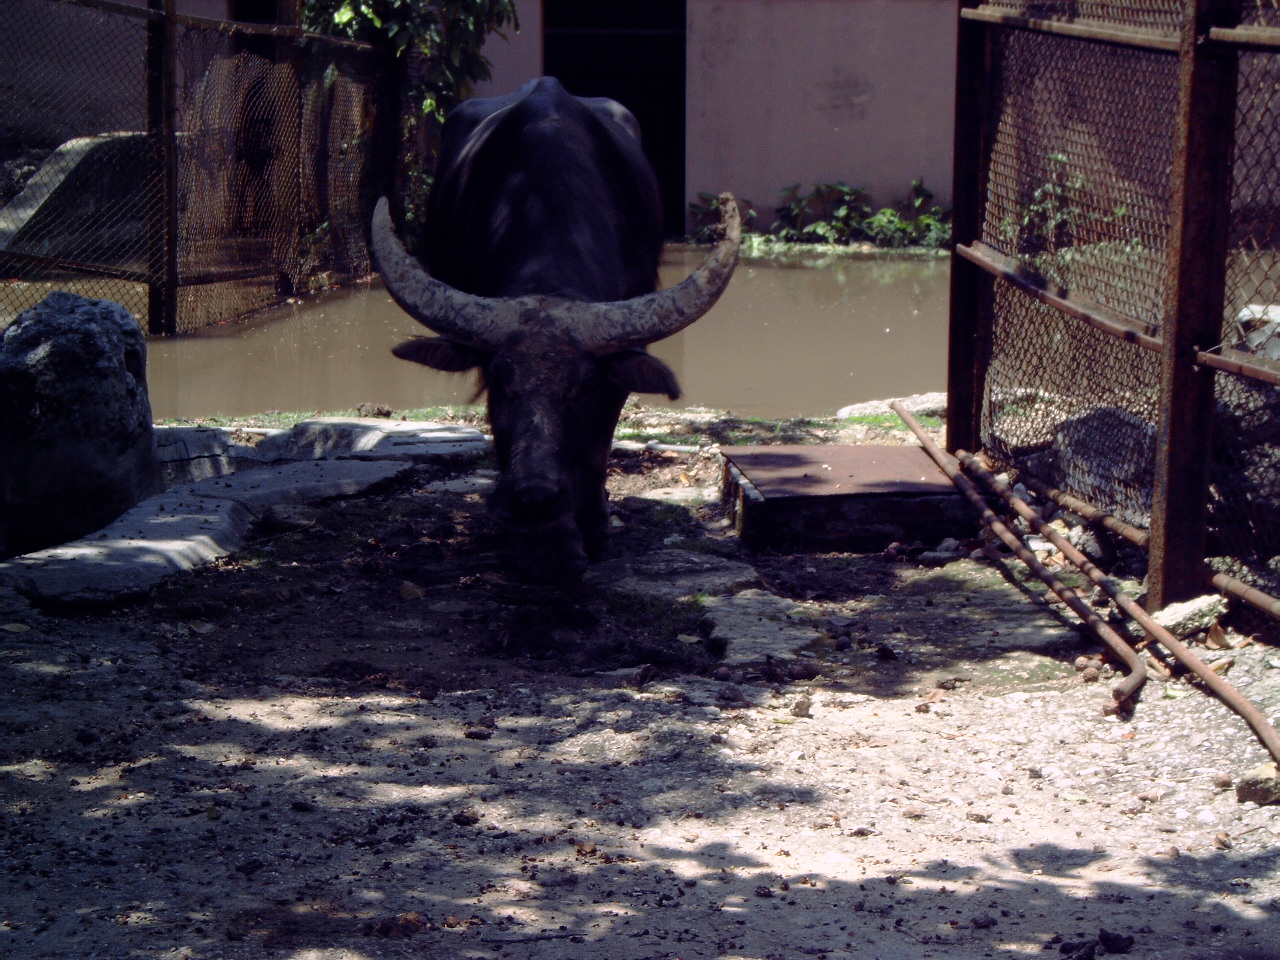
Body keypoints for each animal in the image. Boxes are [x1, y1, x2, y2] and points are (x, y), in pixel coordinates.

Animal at [372, 77, 740, 579]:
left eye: (583, 386)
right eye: (500, 381)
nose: (535, 496)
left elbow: (596, 451)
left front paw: (586, 537)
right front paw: (541, 546)